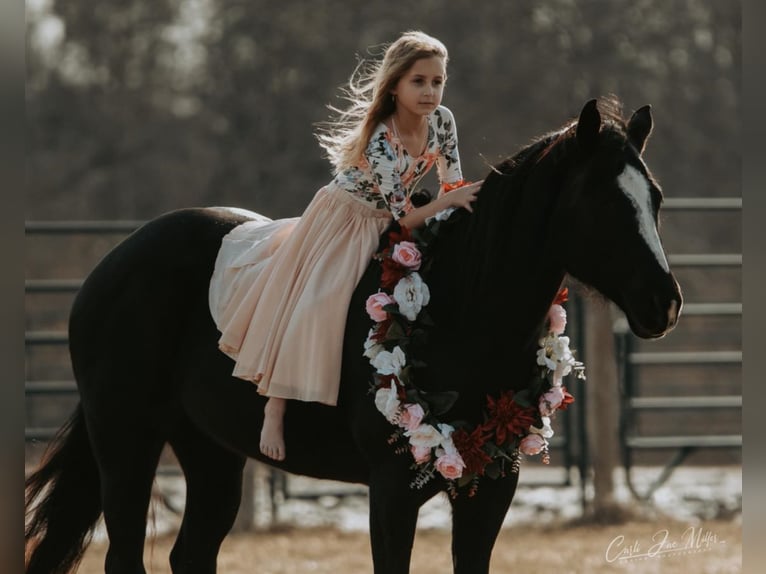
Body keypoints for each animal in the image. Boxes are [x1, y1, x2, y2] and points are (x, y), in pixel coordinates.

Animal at [25, 98, 684, 572]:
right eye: (602, 199)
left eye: (654, 197)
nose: (666, 303)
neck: (462, 309)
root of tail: (112, 265)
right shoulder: (390, 493)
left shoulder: (491, 488)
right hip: (126, 446)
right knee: (124, 556)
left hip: (210, 453)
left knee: (191, 554)